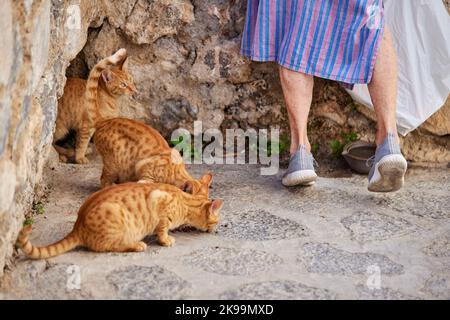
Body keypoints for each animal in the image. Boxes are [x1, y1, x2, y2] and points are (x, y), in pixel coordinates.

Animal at [17, 181, 223, 258]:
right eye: (217, 221)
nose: (217, 230)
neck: (186, 202)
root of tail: (78, 226)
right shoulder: (159, 202)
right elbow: (162, 230)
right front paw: (166, 240)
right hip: (118, 221)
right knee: (108, 246)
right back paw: (137, 245)